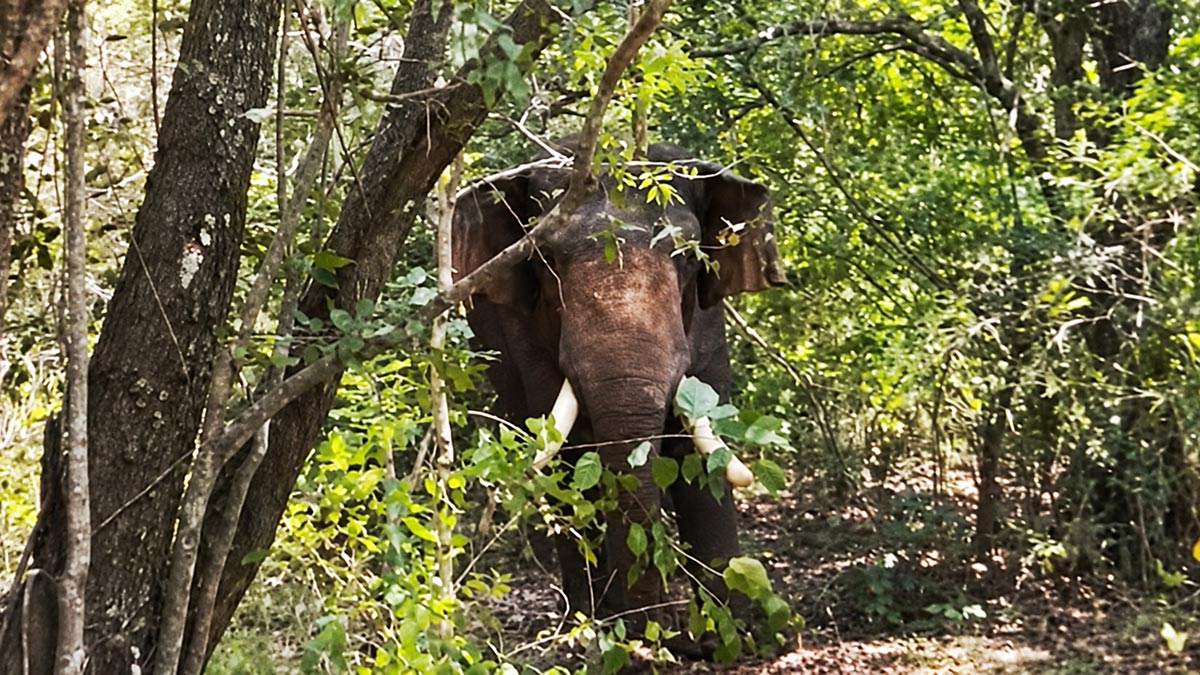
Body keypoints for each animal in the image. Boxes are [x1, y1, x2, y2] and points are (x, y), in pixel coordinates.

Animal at [451, 139, 786, 630]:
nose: (657, 627)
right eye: (546, 260)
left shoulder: (708, 328)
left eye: (689, 257)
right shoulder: (522, 335)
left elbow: (700, 453)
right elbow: (567, 457)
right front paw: (600, 630)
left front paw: (735, 633)